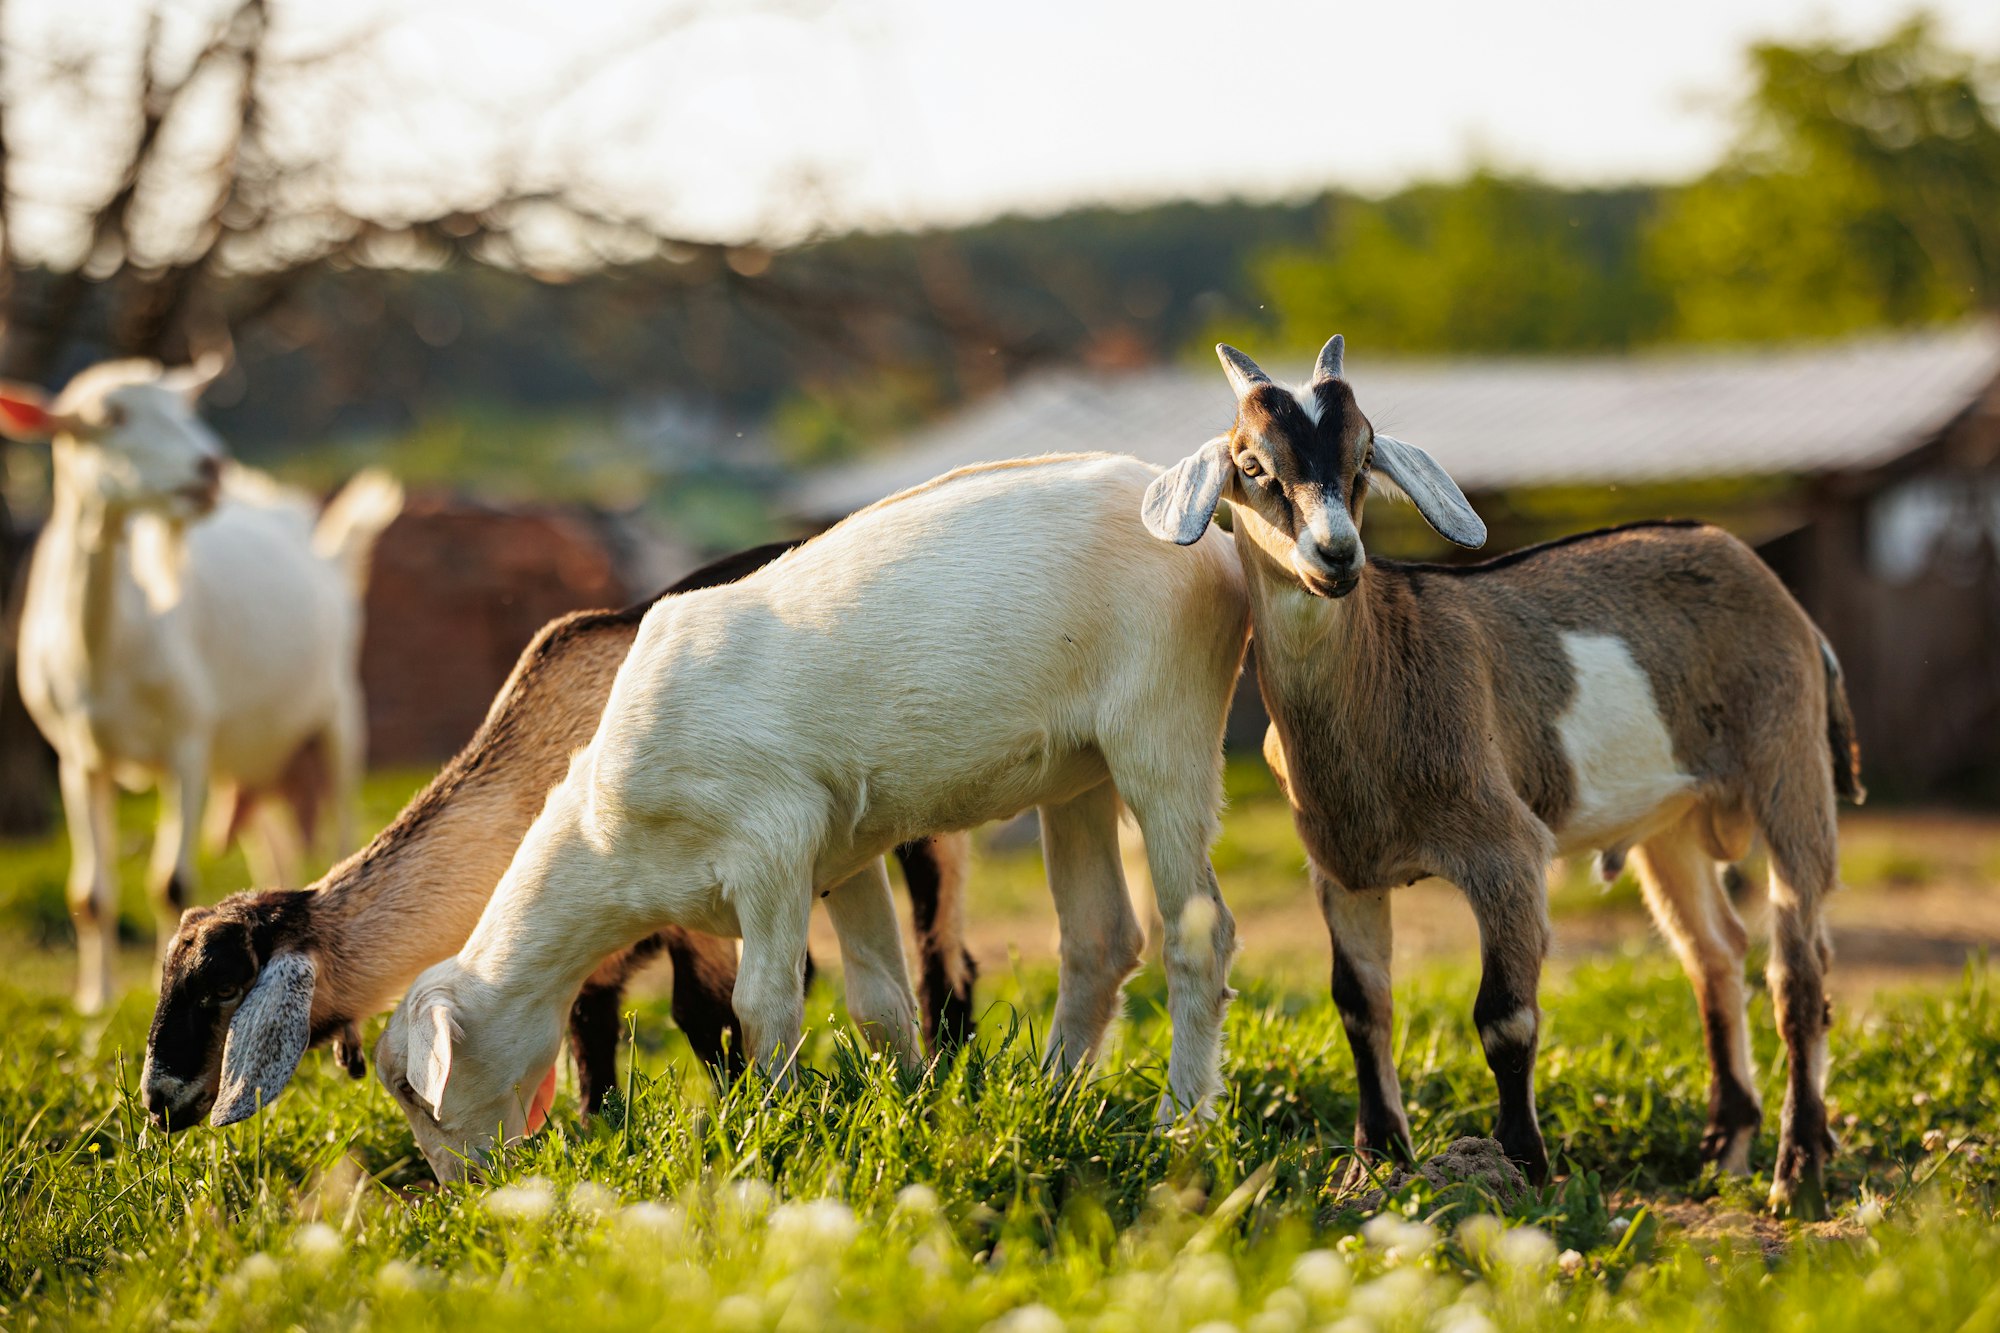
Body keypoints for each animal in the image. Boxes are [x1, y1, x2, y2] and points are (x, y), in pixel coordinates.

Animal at [0, 358, 402, 1012]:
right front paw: (96, 999)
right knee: (275, 844)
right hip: (252, 754)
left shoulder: (186, 742)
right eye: (110, 417)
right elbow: (90, 894)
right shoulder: (77, 755)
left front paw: (160, 988)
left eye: (185, 408)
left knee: (342, 818)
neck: (107, 643)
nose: (211, 466)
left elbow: (172, 882)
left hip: (339, 705)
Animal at [141, 540, 976, 1128]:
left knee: (945, 951)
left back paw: (951, 1067)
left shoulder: (701, 907)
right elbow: (585, 1036)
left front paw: (742, 1117)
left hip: (927, 826)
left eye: (223, 986)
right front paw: (594, 1128)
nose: (156, 1099)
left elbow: (703, 1015)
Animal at [376, 452, 1248, 1176]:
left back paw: (1181, 1120)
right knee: (1100, 939)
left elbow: (761, 1004)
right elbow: (879, 1004)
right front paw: (912, 1107)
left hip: (1163, 722)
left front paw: (771, 1124)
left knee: (1198, 935)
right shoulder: (841, 854)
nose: (461, 1187)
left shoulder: (773, 842)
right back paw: (1056, 1095)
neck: (605, 841)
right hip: (1078, 772)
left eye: (417, 1093)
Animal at [1152, 334, 1864, 1216]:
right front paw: (1377, 1160)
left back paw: (1796, 1168)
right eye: (1252, 464)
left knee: (1797, 968)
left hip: (1789, 764)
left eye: (1363, 456)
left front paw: (1523, 1165)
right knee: (1713, 951)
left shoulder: (1506, 850)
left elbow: (1506, 1016)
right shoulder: (1344, 869)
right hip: (1669, 823)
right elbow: (1361, 1005)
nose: (1337, 553)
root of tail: (1772, 588)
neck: (1385, 664)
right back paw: (1725, 1145)